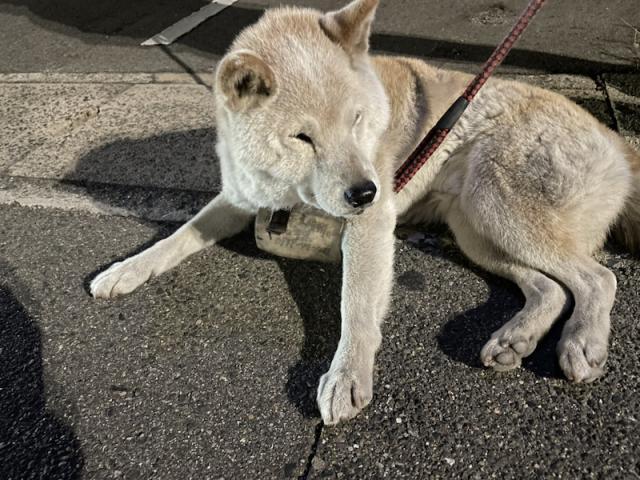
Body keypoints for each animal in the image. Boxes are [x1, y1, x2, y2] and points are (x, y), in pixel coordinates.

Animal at [91, 0, 640, 428]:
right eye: (303, 137)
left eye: (356, 120)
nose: (367, 191)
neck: (288, 188)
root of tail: (616, 140)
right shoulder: (239, 198)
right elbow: (176, 237)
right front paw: (125, 270)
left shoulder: (369, 225)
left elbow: (354, 304)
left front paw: (347, 374)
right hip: (475, 229)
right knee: (551, 287)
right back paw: (515, 338)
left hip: (498, 206)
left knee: (598, 278)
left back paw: (583, 342)